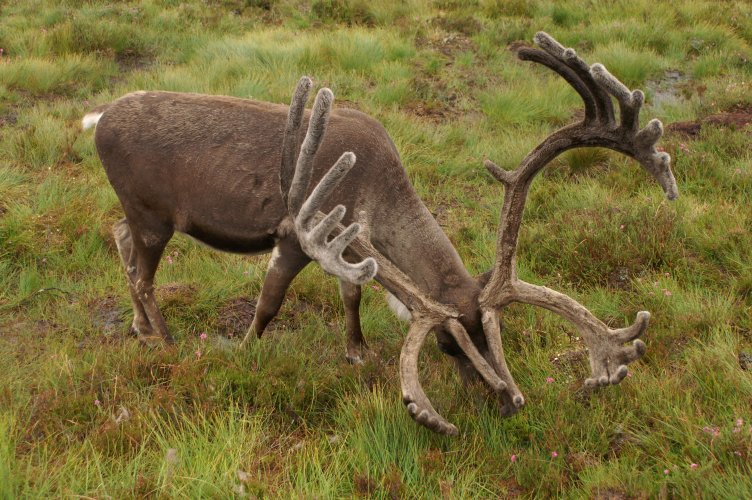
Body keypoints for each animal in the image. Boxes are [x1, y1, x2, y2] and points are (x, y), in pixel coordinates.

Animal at [85, 32, 678, 435]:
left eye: (497, 331)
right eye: (446, 343)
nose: (506, 402)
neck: (376, 187)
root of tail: (98, 118)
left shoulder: (344, 244)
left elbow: (352, 295)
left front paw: (356, 351)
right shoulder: (297, 234)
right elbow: (269, 304)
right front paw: (246, 352)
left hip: (138, 215)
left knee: (118, 239)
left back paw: (140, 327)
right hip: (153, 216)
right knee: (142, 274)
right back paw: (163, 338)